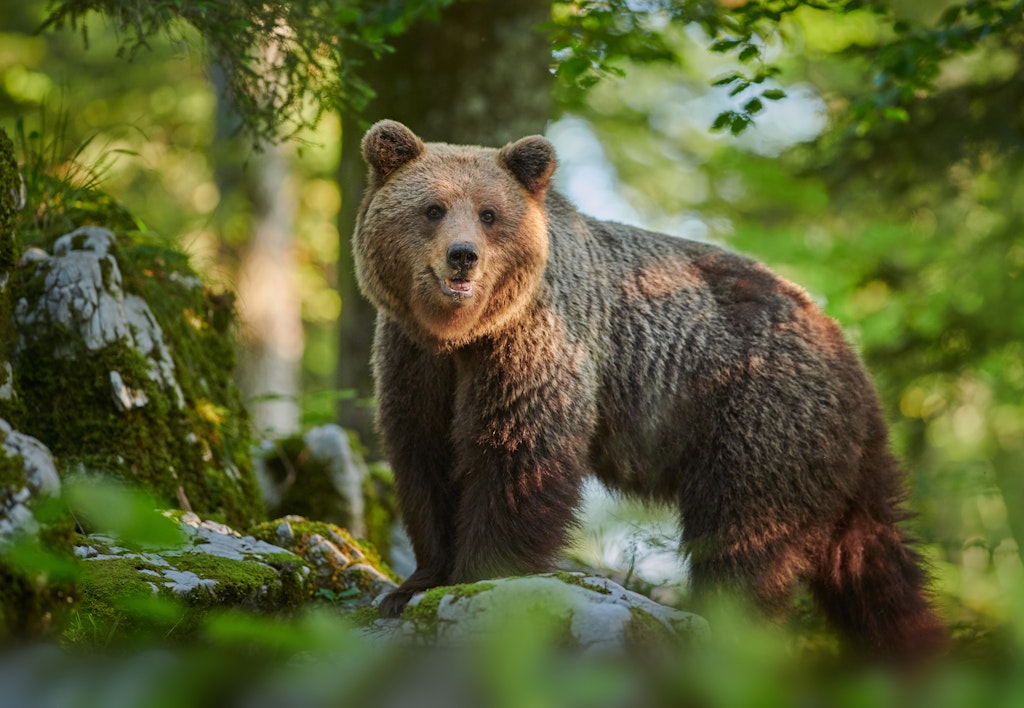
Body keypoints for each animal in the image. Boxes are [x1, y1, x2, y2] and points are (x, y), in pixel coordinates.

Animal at [356, 117, 946, 659]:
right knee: (873, 559)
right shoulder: (415, 360)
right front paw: (413, 585)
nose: (463, 255)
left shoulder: (535, 344)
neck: (461, 335)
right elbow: (424, 457)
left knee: (743, 534)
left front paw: (484, 576)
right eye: (433, 208)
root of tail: (844, 347)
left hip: (759, 418)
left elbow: (518, 453)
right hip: (837, 456)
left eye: (488, 213)